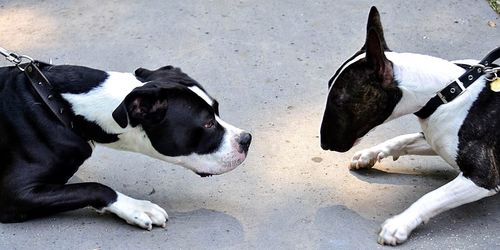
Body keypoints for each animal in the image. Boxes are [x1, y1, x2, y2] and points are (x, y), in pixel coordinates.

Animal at [0, 61, 252, 229]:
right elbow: (93, 187)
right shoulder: (15, 194)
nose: (247, 139)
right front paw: (137, 208)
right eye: (208, 123)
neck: (61, 106)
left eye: (217, 110)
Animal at [320, 6, 500, 246]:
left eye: (339, 100)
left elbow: (432, 197)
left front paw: (399, 225)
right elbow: (402, 139)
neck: (446, 92)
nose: (323, 143)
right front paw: (369, 154)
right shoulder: (433, 136)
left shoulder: (483, 178)